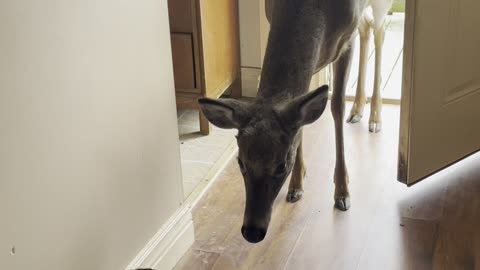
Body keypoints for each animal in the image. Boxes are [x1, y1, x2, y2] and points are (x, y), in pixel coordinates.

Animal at [197, 0, 392, 245]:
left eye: (281, 165)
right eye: (240, 162)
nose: (252, 231)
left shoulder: (347, 40)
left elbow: (336, 105)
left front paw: (342, 192)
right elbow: (301, 119)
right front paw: (296, 185)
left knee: (379, 29)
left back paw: (375, 118)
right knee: (367, 27)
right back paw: (358, 110)